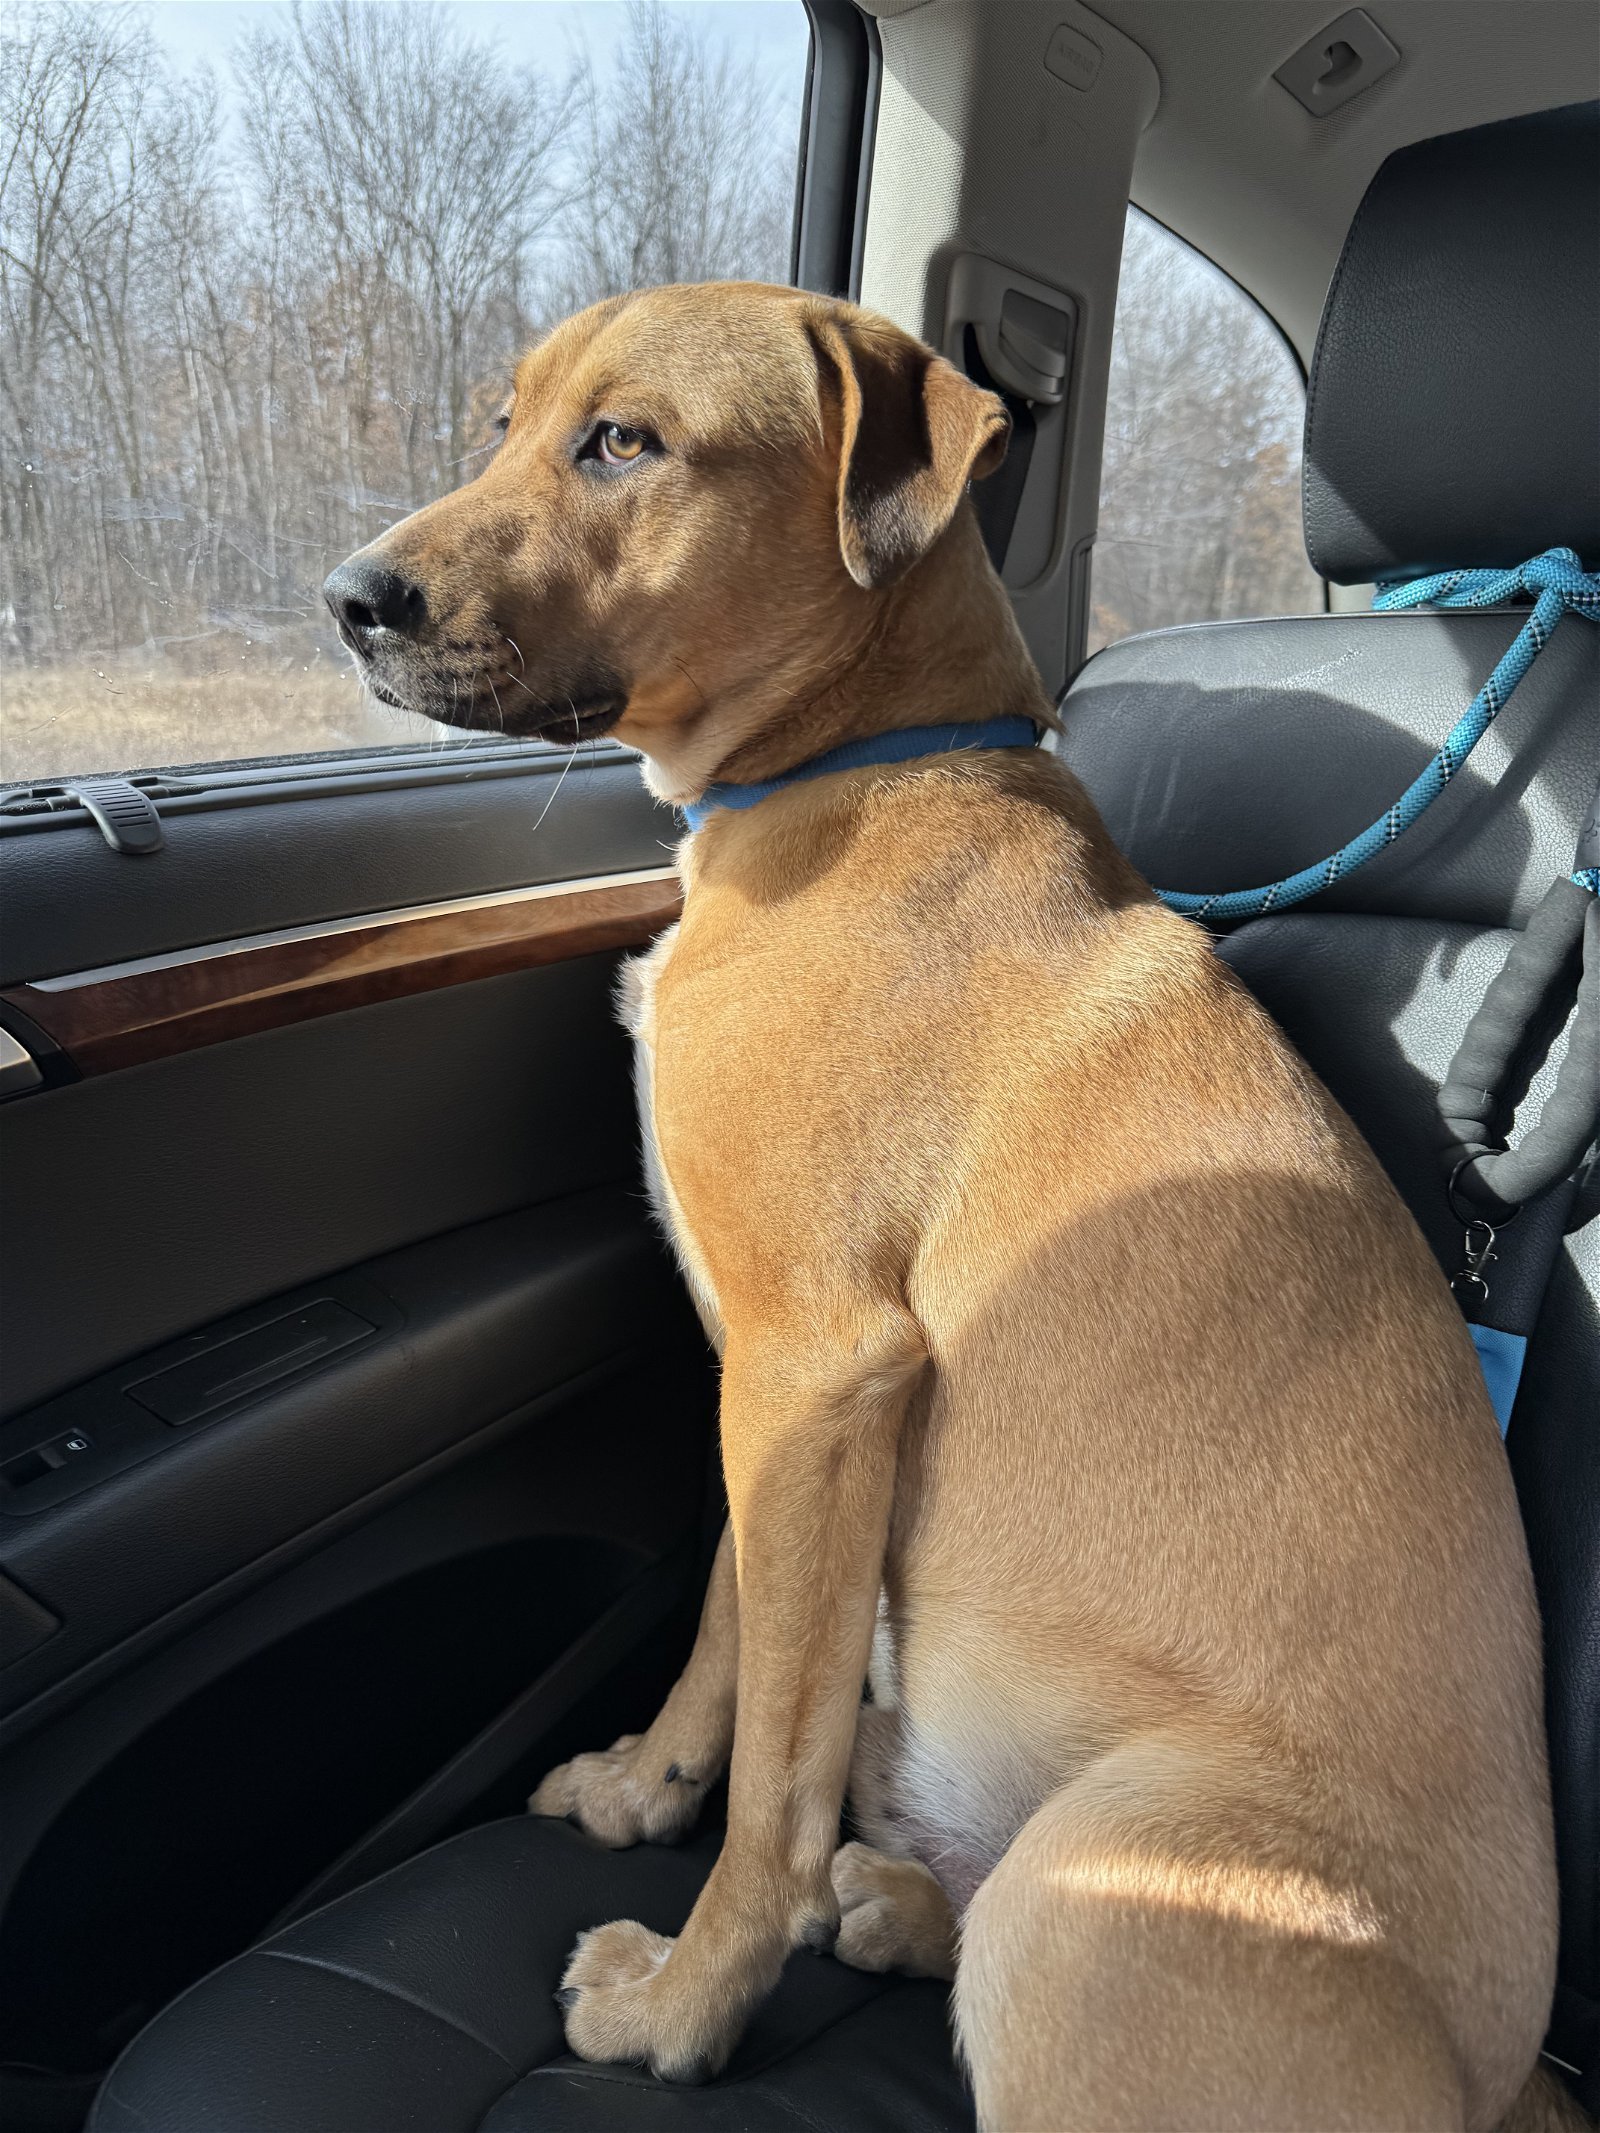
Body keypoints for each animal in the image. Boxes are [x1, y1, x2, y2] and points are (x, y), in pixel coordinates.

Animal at [326, 287, 1570, 2133]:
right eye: (504, 424)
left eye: (624, 442)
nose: (349, 601)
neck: (855, 763)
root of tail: (1510, 2084)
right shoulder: (772, 1386)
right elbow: (732, 1630)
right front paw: (642, 1787)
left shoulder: (818, 1364)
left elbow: (772, 1780)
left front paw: (687, 2002)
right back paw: (901, 1902)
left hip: (1090, 1902)